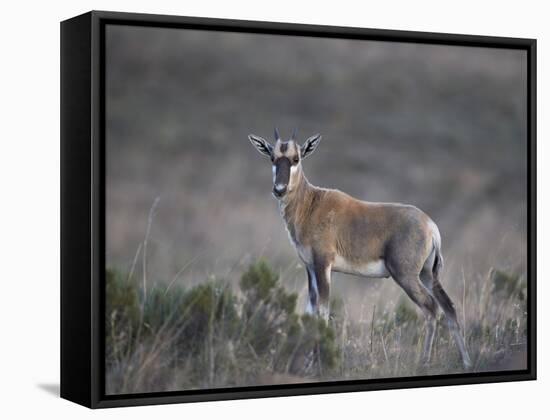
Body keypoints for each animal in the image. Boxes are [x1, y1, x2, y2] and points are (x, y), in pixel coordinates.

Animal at [250, 128, 474, 368]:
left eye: (296, 158)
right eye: (272, 158)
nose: (279, 190)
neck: (313, 203)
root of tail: (431, 226)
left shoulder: (323, 265)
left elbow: (323, 311)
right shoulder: (310, 268)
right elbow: (311, 311)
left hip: (406, 276)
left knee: (431, 307)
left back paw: (424, 362)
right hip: (427, 275)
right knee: (448, 307)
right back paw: (466, 362)